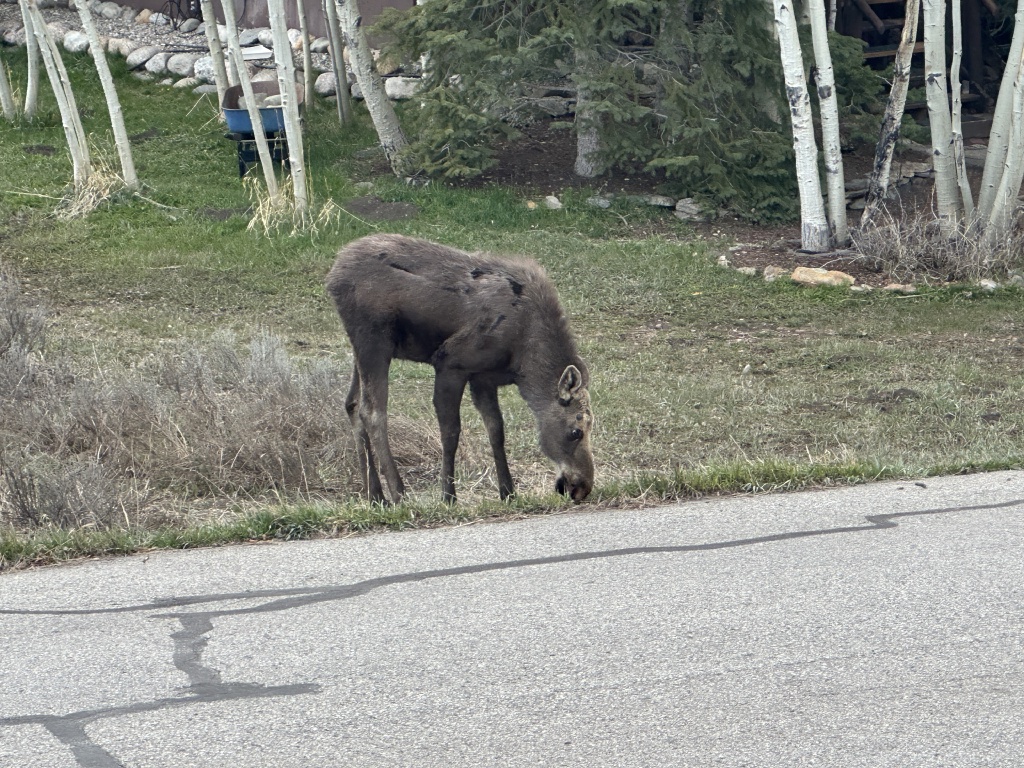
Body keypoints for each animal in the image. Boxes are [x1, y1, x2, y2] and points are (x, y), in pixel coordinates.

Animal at [326, 233, 595, 505]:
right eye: (576, 431)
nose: (582, 487)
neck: (523, 362)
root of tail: (333, 274)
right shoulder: (450, 362)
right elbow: (451, 432)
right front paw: (448, 495)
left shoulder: (483, 378)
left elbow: (496, 430)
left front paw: (508, 492)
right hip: (374, 339)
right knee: (372, 411)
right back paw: (399, 493)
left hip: (361, 350)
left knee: (352, 403)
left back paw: (376, 496)